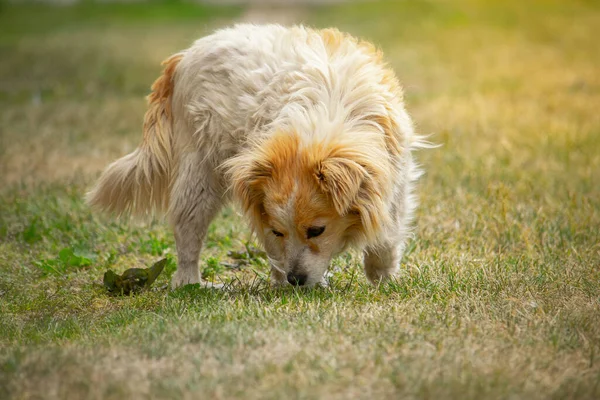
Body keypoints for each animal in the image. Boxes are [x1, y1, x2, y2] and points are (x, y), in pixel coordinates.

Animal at [88, 24, 426, 288]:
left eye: (316, 231)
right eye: (280, 230)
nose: (295, 279)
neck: (323, 115)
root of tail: (183, 57)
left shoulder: (394, 176)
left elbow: (388, 230)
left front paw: (382, 277)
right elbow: (276, 247)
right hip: (200, 174)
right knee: (187, 233)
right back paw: (191, 284)